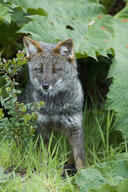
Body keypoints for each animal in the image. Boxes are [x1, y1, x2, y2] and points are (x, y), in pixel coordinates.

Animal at [22, 36, 85, 170]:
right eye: (39, 70)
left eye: (56, 70)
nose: (45, 86)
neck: (54, 108)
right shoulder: (43, 127)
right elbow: (45, 153)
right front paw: (45, 167)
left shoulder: (75, 126)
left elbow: (80, 158)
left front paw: (84, 172)